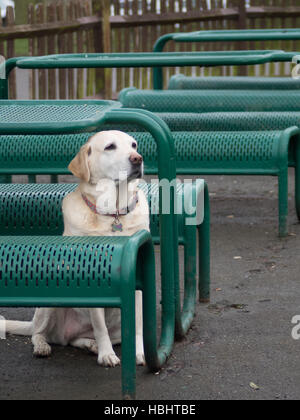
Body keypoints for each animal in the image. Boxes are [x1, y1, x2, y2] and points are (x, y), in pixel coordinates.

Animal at [4, 130, 149, 368]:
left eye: (134, 145)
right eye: (110, 147)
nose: (138, 159)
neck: (113, 213)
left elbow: (137, 326)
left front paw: (139, 353)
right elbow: (99, 326)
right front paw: (106, 354)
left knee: (73, 340)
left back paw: (89, 344)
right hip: (49, 302)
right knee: (39, 333)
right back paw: (44, 346)